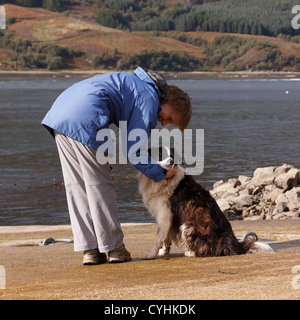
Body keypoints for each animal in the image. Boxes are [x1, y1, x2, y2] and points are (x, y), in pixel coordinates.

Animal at [138, 148, 272, 260]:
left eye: (172, 155)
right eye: (160, 154)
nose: (171, 161)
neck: (164, 179)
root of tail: (229, 242)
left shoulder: (164, 215)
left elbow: (158, 238)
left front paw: (151, 254)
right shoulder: (169, 219)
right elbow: (166, 237)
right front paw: (163, 251)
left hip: (188, 225)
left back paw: (190, 252)